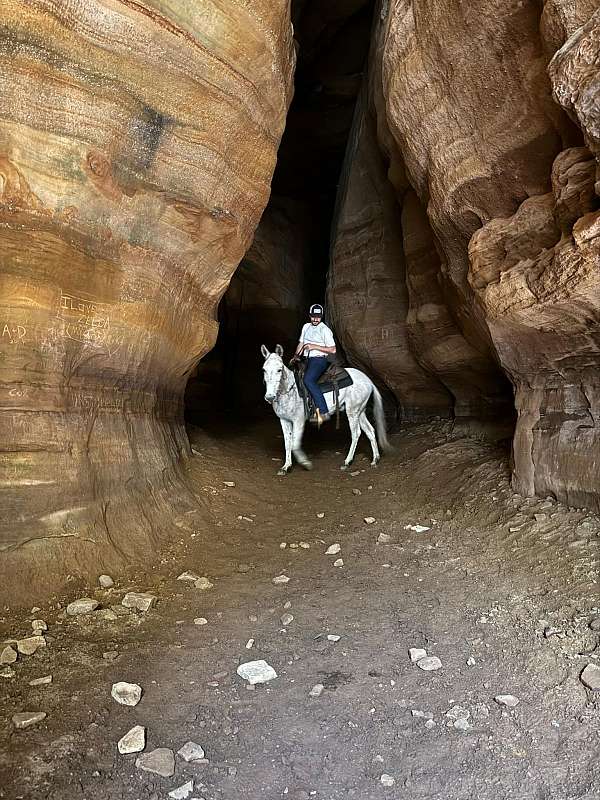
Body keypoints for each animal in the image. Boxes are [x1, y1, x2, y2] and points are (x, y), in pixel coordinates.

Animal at [260, 344, 392, 476]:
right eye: (264, 369)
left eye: (279, 369)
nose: (269, 397)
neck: (290, 390)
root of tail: (368, 381)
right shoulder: (284, 420)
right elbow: (287, 443)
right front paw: (286, 467)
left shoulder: (298, 420)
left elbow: (295, 443)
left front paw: (305, 463)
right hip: (360, 411)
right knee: (370, 431)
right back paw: (375, 459)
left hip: (352, 411)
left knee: (356, 433)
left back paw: (347, 462)